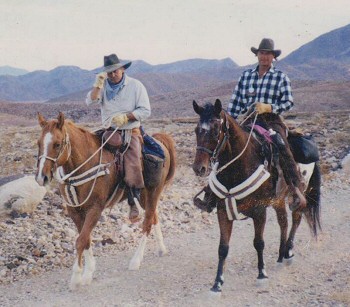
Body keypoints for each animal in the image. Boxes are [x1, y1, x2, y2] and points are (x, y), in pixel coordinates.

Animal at [35, 112, 176, 290]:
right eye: (38, 143)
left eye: (57, 144)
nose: (42, 177)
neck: (85, 163)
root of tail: (160, 142)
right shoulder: (75, 211)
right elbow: (86, 239)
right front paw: (88, 272)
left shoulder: (95, 209)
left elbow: (81, 240)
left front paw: (76, 278)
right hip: (144, 196)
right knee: (154, 217)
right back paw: (162, 249)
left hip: (153, 192)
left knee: (147, 223)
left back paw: (136, 260)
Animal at [193, 100, 322, 294]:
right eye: (196, 130)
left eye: (216, 130)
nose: (198, 168)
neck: (239, 166)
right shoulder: (223, 211)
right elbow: (223, 248)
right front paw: (217, 284)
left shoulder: (259, 211)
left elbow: (258, 242)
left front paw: (262, 275)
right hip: (277, 200)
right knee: (283, 223)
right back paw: (280, 256)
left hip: (298, 194)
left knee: (296, 219)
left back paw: (289, 252)